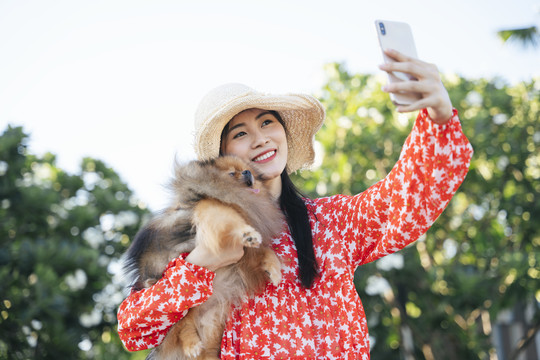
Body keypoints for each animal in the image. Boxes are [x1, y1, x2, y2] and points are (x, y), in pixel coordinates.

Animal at [122, 156, 282, 360]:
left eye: (249, 171)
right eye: (232, 173)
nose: (247, 173)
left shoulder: (245, 259)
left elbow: (267, 253)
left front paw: (274, 270)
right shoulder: (211, 209)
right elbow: (231, 222)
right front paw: (247, 234)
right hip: (181, 307)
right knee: (181, 327)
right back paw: (192, 345)